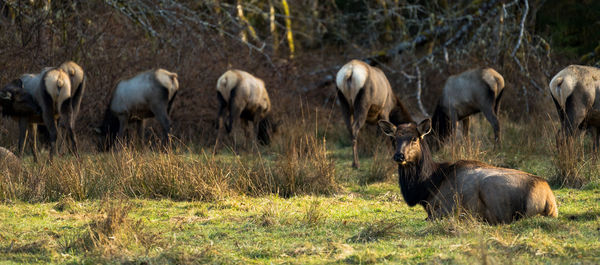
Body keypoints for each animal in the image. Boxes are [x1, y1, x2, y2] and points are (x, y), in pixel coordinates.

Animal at [380, 118, 556, 224]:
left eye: (414, 138)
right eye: (394, 138)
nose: (399, 155)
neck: (427, 187)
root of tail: (547, 196)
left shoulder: (445, 207)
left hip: (491, 189)